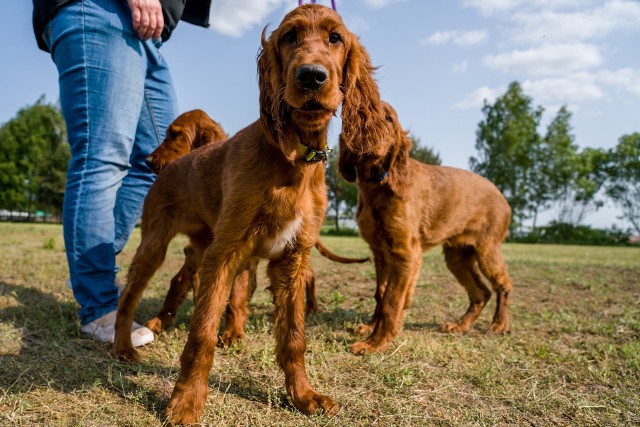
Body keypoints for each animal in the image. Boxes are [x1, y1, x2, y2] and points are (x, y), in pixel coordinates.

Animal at [112, 4, 388, 424]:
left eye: (335, 38)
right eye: (289, 37)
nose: (311, 76)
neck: (292, 157)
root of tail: (172, 165)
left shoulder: (291, 260)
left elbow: (294, 336)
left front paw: (303, 395)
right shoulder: (225, 255)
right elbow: (203, 332)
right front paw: (187, 401)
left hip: (199, 249)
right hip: (155, 244)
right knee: (129, 295)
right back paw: (123, 346)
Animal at [340, 102, 516, 356]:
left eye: (388, 118)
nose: (367, 140)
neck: (378, 186)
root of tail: (503, 197)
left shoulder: (407, 253)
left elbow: (391, 301)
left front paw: (375, 343)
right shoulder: (380, 253)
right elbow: (380, 294)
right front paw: (371, 328)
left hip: (486, 250)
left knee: (503, 286)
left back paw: (499, 324)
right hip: (457, 256)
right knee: (481, 293)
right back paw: (460, 326)